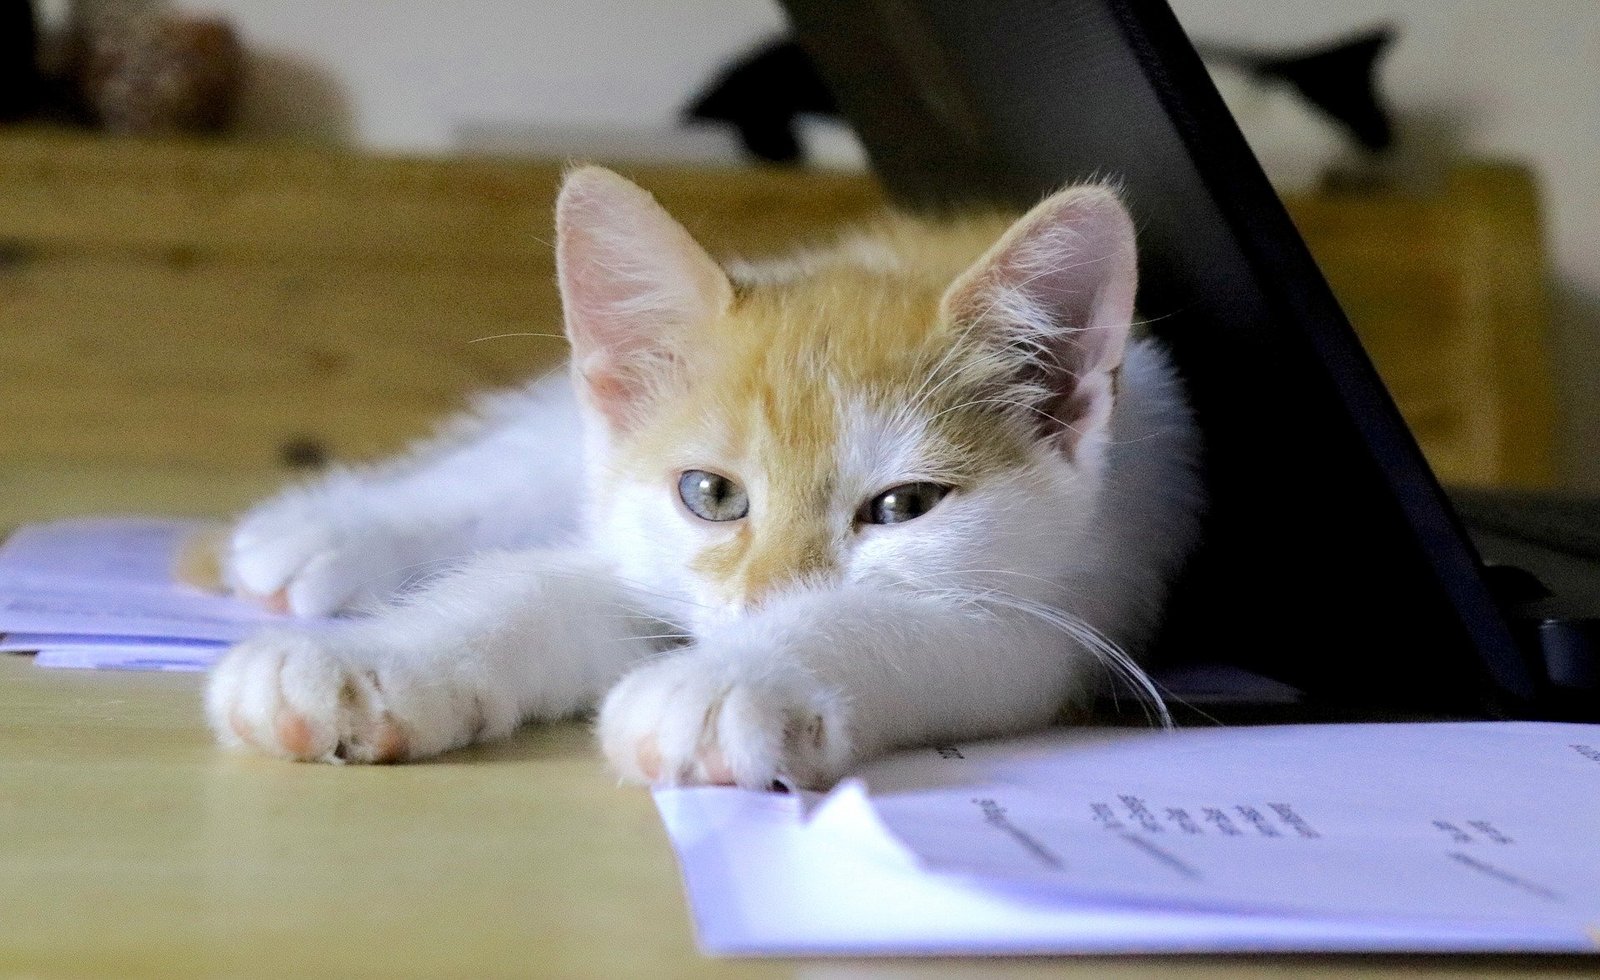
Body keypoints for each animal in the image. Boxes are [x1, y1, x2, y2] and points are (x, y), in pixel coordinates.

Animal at [204, 165, 1203, 790]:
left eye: (904, 506)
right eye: (712, 494)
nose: (760, 605)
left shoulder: (1058, 614)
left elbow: (892, 621)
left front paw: (730, 680)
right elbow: (528, 586)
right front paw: (368, 662)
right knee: (515, 465)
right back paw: (328, 532)